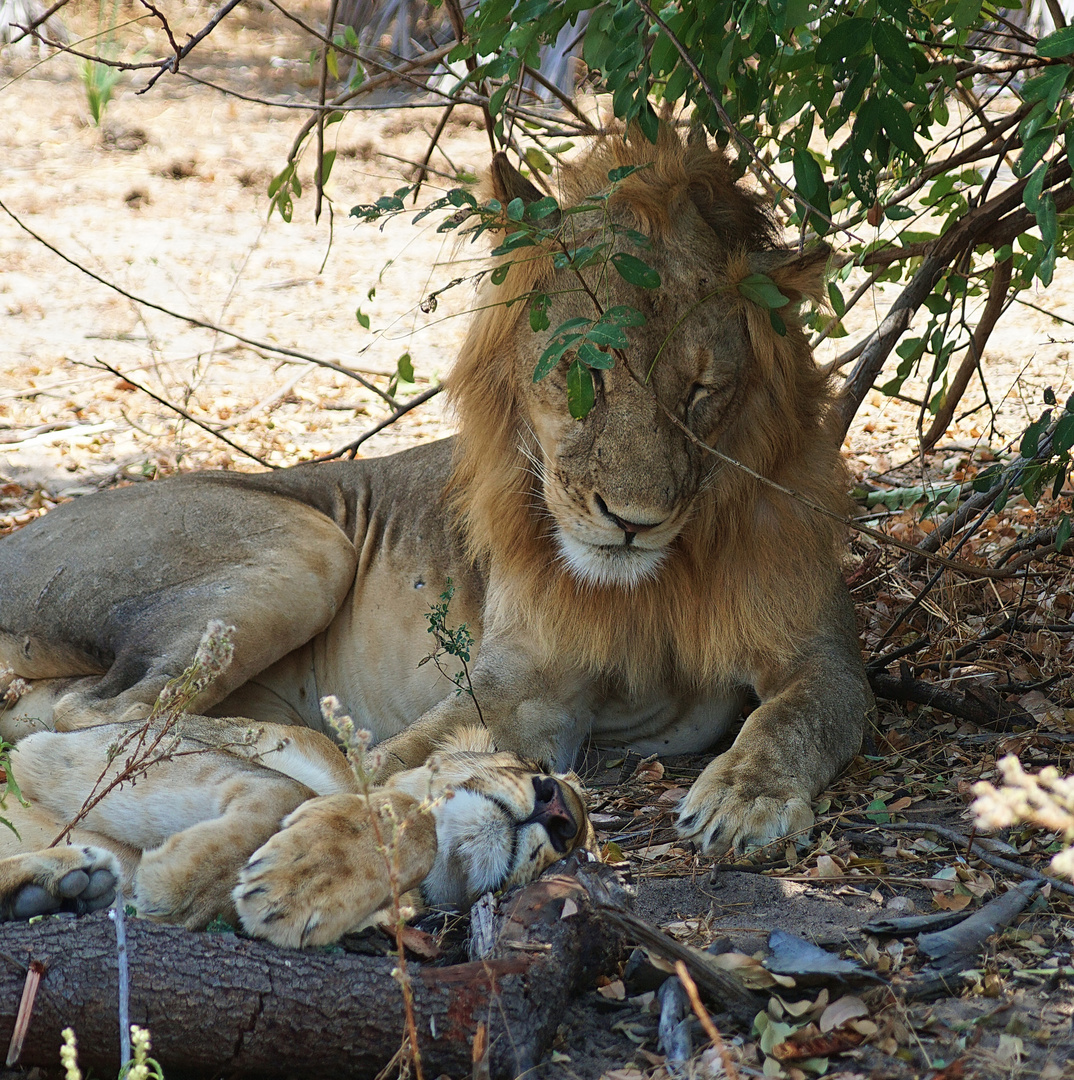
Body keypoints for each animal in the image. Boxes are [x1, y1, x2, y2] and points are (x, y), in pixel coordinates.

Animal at [0, 124, 873, 928]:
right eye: (585, 371)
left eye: (700, 389)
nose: (632, 522)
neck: (641, 587)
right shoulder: (521, 683)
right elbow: (404, 770)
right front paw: (325, 855)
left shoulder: (820, 651)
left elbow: (798, 716)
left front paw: (745, 800)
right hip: (310, 547)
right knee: (103, 714)